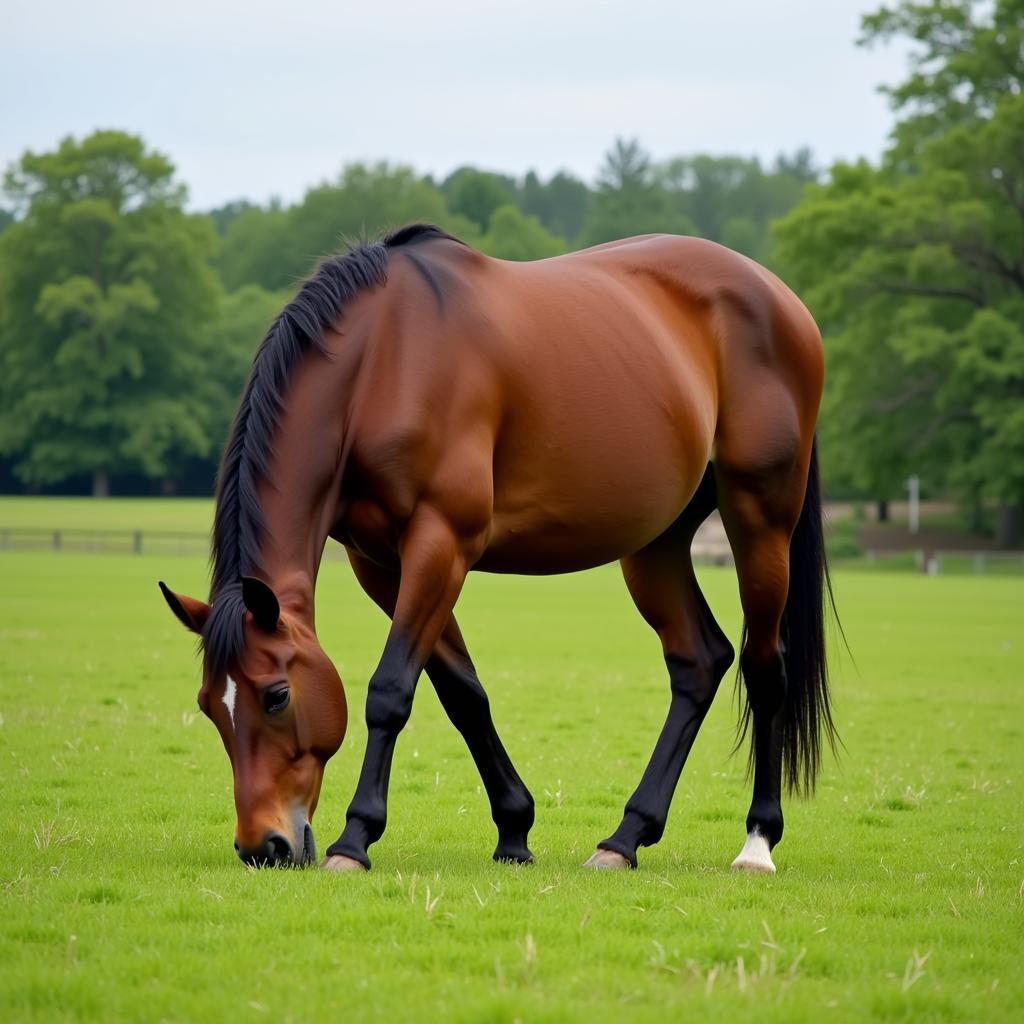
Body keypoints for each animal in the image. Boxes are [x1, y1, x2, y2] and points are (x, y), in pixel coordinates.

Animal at [157, 222, 831, 872]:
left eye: (276, 696)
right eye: (210, 706)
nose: (262, 846)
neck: (383, 362)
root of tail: (781, 298)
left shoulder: (440, 542)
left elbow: (390, 691)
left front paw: (355, 840)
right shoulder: (384, 564)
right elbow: (462, 692)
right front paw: (514, 831)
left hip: (760, 518)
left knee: (764, 667)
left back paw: (756, 842)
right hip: (655, 546)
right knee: (700, 661)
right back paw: (625, 838)